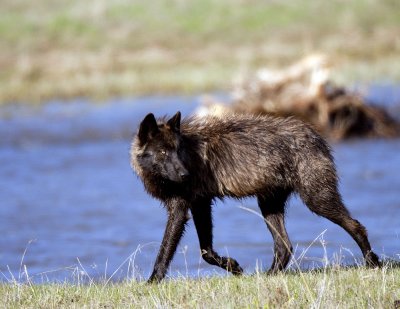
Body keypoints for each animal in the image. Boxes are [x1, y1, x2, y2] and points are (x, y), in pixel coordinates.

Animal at [130, 111, 380, 282]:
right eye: (163, 152)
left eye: (178, 151)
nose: (184, 174)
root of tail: (315, 134)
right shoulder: (200, 204)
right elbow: (206, 251)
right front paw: (234, 267)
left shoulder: (182, 209)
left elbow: (165, 251)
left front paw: (152, 282)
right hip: (269, 206)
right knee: (285, 245)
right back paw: (269, 276)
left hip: (317, 200)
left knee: (356, 226)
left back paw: (373, 263)